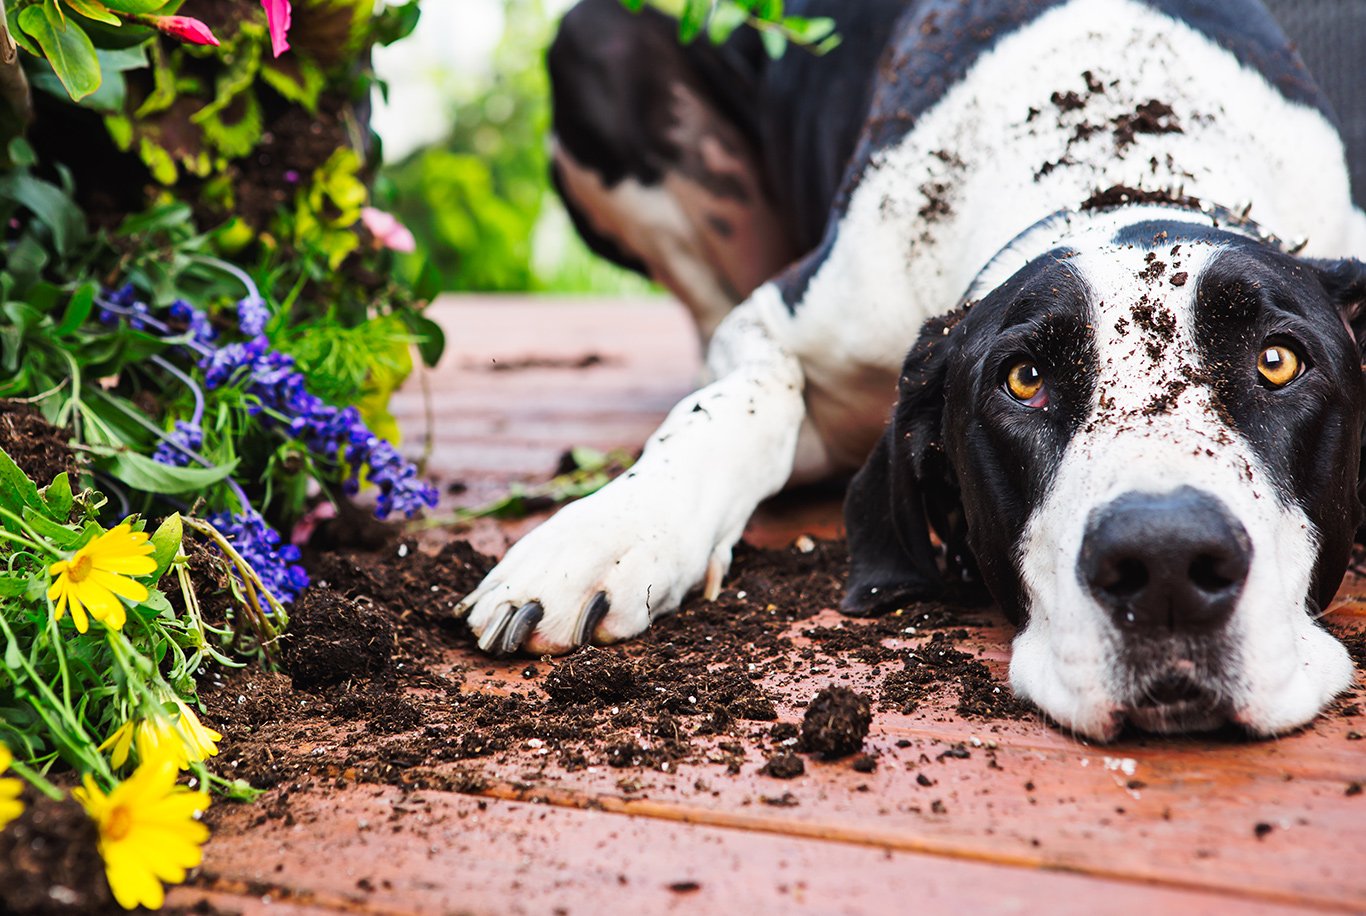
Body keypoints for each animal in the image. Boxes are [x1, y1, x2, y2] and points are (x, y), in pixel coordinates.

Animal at [458, 0, 1366, 742]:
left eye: (1278, 361)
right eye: (1024, 380)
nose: (1169, 562)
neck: (1120, 161)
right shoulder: (784, 322)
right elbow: (738, 402)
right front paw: (609, 532)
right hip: (594, 47)